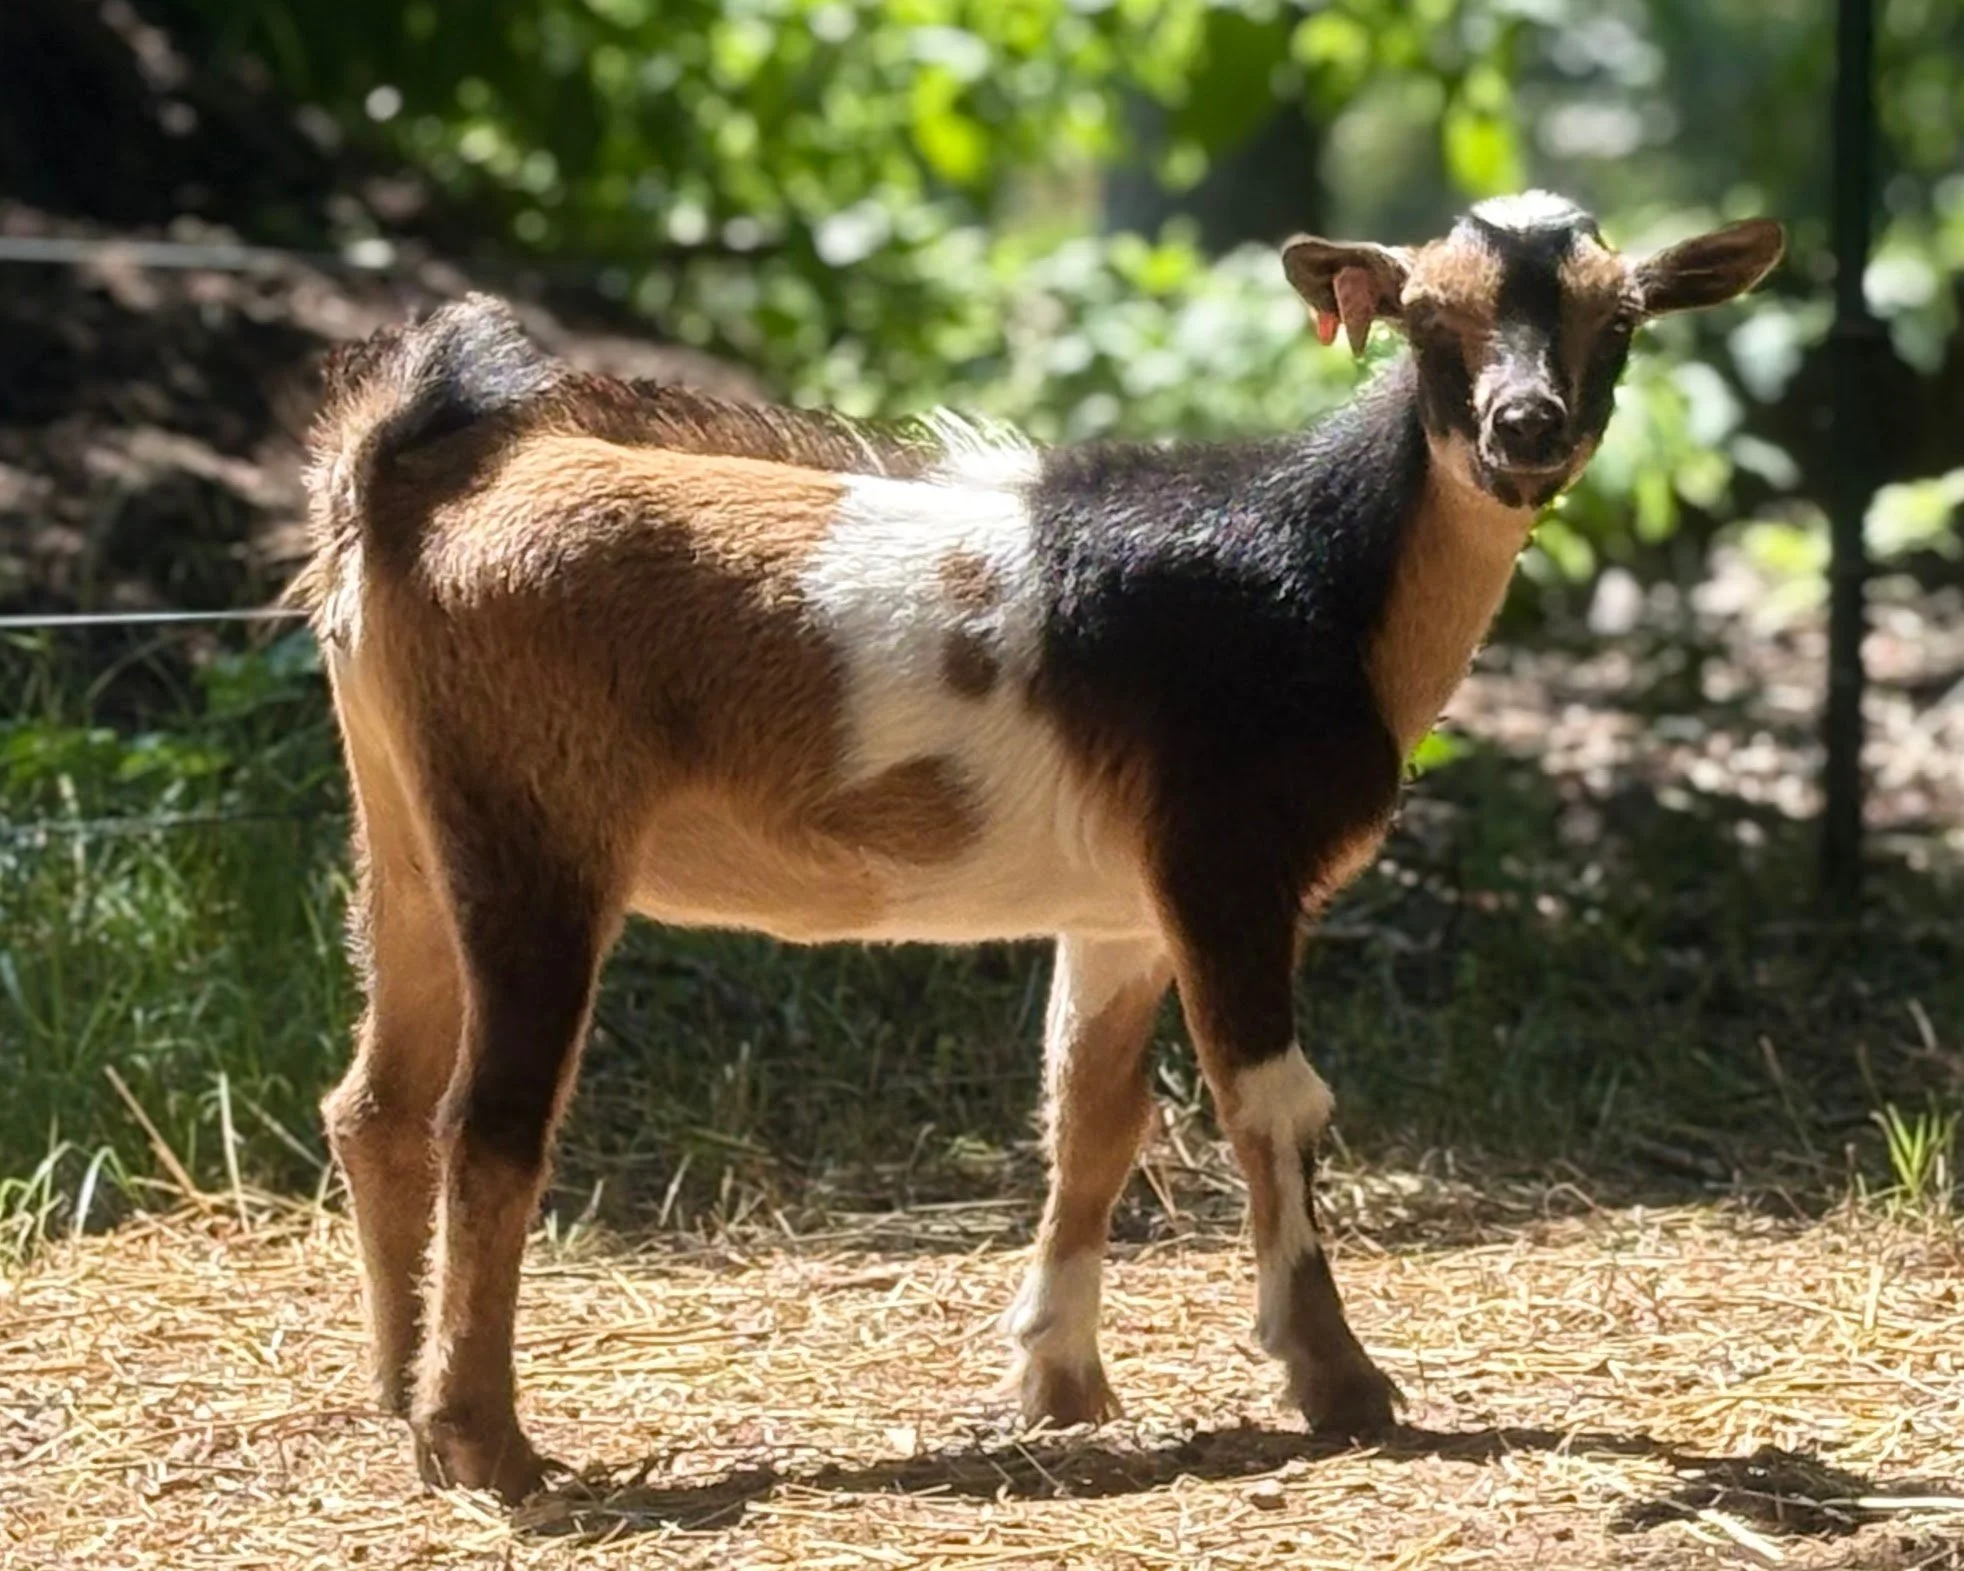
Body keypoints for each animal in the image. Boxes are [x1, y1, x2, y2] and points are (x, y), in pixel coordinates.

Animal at [298, 192, 1783, 1501]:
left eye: (1618, 318)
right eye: (1425, 317)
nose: (1523, 427)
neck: (1320, 574)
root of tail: (416, 482)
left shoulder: (1121, 903)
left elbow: (1090, 1115)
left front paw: (1059, 1382)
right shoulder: (1227, 863)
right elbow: (1273, 1103)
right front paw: (1339, 1380)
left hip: (407, 824)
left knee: (378, 1101)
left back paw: (395, 1393)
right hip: (536, 830)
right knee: (488, 1121)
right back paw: (487, 1443)